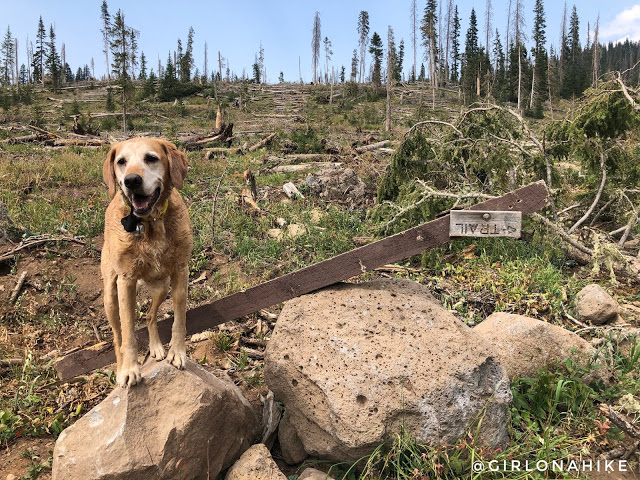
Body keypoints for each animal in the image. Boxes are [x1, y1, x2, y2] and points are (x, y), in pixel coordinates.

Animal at [100, 137, 192, 388]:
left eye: (151, 158)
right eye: (121, 162)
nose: (131, 180)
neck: (150, 224)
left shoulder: (181, 271)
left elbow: (179, 319)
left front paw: (177, 352)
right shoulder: (126, 282)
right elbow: (129, 333)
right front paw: (130, 369)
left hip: (162, 287)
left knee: (150, 316)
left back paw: (156, 347)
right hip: (110, 296)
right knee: (117, 336)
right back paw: (121, 367)